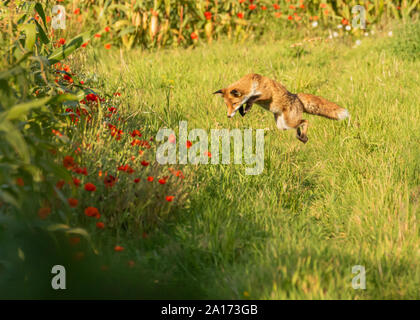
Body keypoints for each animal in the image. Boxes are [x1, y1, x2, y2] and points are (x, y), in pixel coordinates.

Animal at [213, 73, 348, 143]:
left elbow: (252, 99)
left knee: (305, 121)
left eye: (234, 104)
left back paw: (303, 136)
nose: (228, 116)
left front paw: (247, 107)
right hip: (283, 125)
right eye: (227, 105)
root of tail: (296, 96)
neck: (253, 84)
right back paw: (301, 137)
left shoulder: (266, 94)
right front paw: (244, 110)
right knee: (299, 126)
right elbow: (246, 104)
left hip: (289, 122)